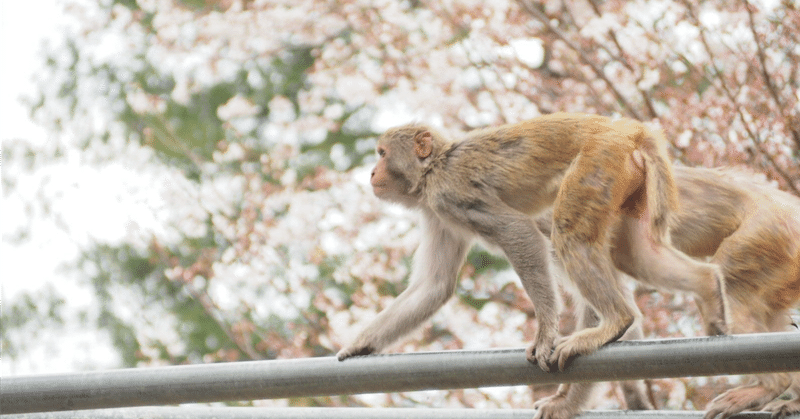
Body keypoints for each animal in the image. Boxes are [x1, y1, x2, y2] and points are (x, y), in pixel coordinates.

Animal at [334, 113, 728, 372]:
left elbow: (518, 232)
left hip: (598, 162)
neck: (434, 168)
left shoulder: (451, 195)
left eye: (382, 154)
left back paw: (614, 323)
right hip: (628, 177)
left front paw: (545, 334)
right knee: (639, 254)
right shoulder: (437, 213)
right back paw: (707, 287)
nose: (372, 172)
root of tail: (627, 130)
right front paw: (359, 344)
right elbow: (434, 285)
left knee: (568, 235)